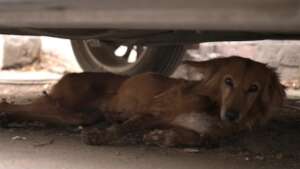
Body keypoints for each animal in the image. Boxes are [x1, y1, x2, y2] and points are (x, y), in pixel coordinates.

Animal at [0, 55, 284, 147]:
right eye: (228, 81)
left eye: (254, 88)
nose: (232, 116)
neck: (214, 109)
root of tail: (72, 73)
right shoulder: (155, 112)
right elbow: (125, 127)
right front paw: (101, 136)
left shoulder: (211, 134)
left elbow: (200, 140)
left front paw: (165, 137)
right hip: (67, 105)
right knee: (11, 105)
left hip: (76, 114)